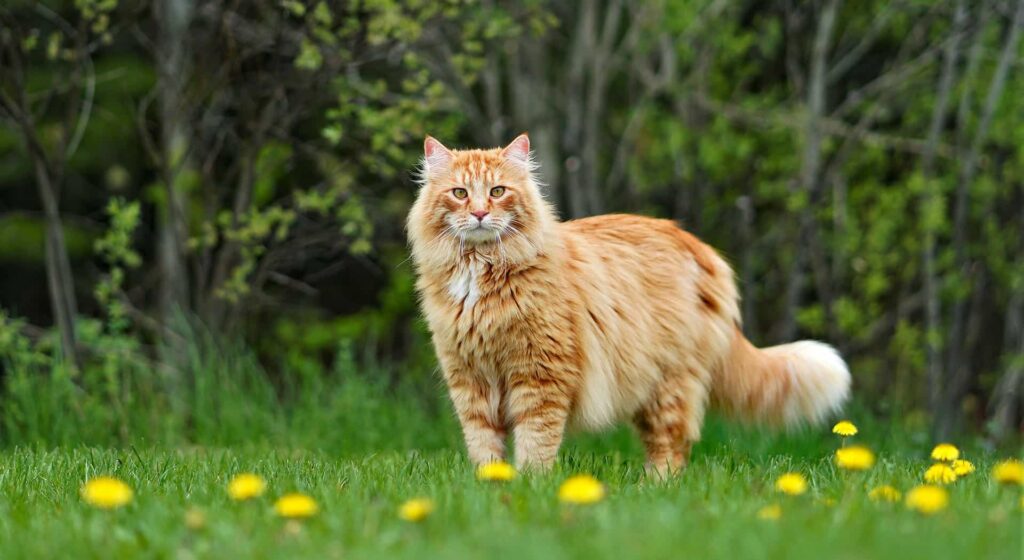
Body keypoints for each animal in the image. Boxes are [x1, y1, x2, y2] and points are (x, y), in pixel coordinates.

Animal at [407, 135, 847, 472]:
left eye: (498, 192)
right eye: (460, 193)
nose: (481, 213)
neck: (480, 272)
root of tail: (699, 247)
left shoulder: (540, 377)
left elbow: (535, 443)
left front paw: (530, 485)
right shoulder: (470, 381)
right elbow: (484, 446)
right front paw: (493, 485)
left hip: (668, 384)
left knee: (672, 448)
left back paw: (656, 491)